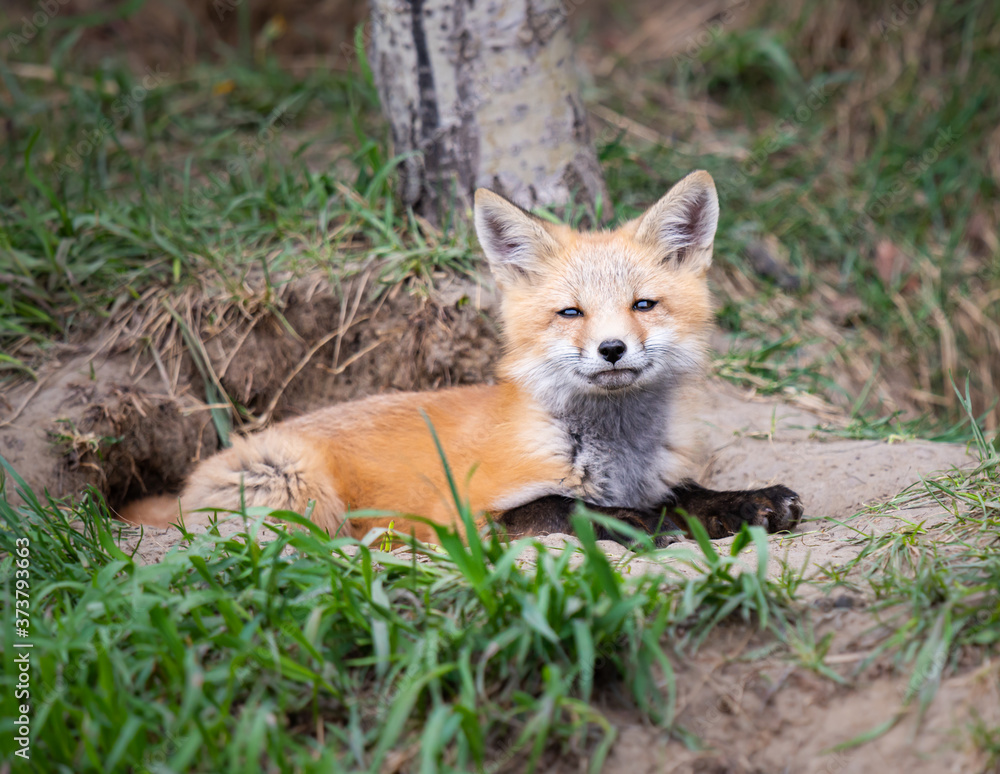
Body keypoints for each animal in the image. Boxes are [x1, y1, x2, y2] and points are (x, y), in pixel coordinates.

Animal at [123, 171, 803, 547]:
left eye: (643, 305)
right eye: (571, 313)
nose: (612, 349)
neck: (614, 454)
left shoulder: (660, 476)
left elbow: (685, 494)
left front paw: (746, 501)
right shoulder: (477, 514)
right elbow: (590, 512)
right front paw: (656, 527)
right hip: (294, 483)